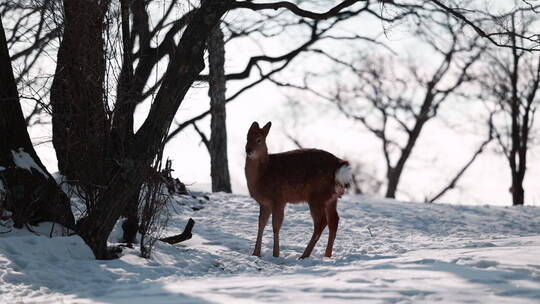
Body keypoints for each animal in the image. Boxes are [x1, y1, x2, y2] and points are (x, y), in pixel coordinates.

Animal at [244, 121, 352, 258]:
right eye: (247, 138)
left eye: (259, 140)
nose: (248, 150)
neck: (263, 173)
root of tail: (339, 165)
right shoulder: (264, 202)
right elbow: (261, 224)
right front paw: (255, 253)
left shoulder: (278, 199)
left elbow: (276, 225)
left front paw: (276, 254)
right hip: (331, 198)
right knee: (334, 221)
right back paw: (326, 255)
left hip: (316, 195)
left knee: (321, 222)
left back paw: (304, 255)